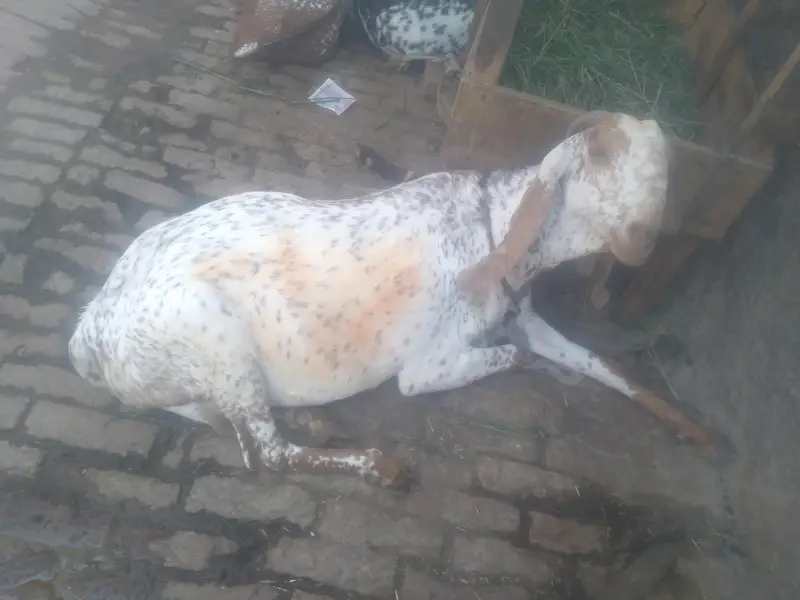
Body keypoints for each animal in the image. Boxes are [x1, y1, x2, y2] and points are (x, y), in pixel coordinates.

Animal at [69, 111, 723, 488]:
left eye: (666, 168)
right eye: (602, 156)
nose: (644, 237)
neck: (493, 225)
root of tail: (89, 333)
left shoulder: (524, 314)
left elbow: (600, 363)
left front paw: (692, 428)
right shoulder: (426, 367)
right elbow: (512, 357)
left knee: (230, 423)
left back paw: (314, 419)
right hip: (215, 337)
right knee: (264, 456)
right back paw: (377, 464)